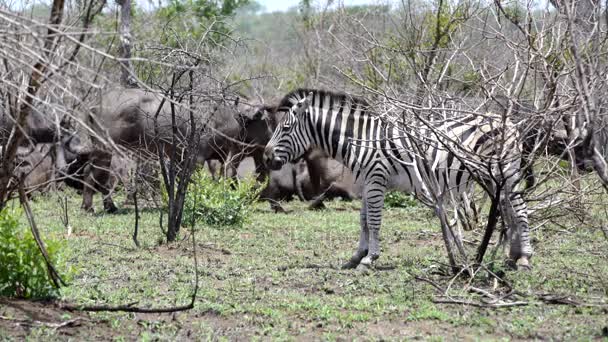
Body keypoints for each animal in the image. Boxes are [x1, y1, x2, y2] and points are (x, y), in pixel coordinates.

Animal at [264, 88, 536, 270]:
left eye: (285, 128)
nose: (266, 157)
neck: (360, 139)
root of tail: (508, 121)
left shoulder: (376, 178)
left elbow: (374, 221)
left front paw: (369, 258)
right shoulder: (367, 181)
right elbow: (363, 220)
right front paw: (356, 256)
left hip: (506, 172)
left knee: (520, 210)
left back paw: (524, 258)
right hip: (491, 177)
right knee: (507, 210)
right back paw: (513, 255)